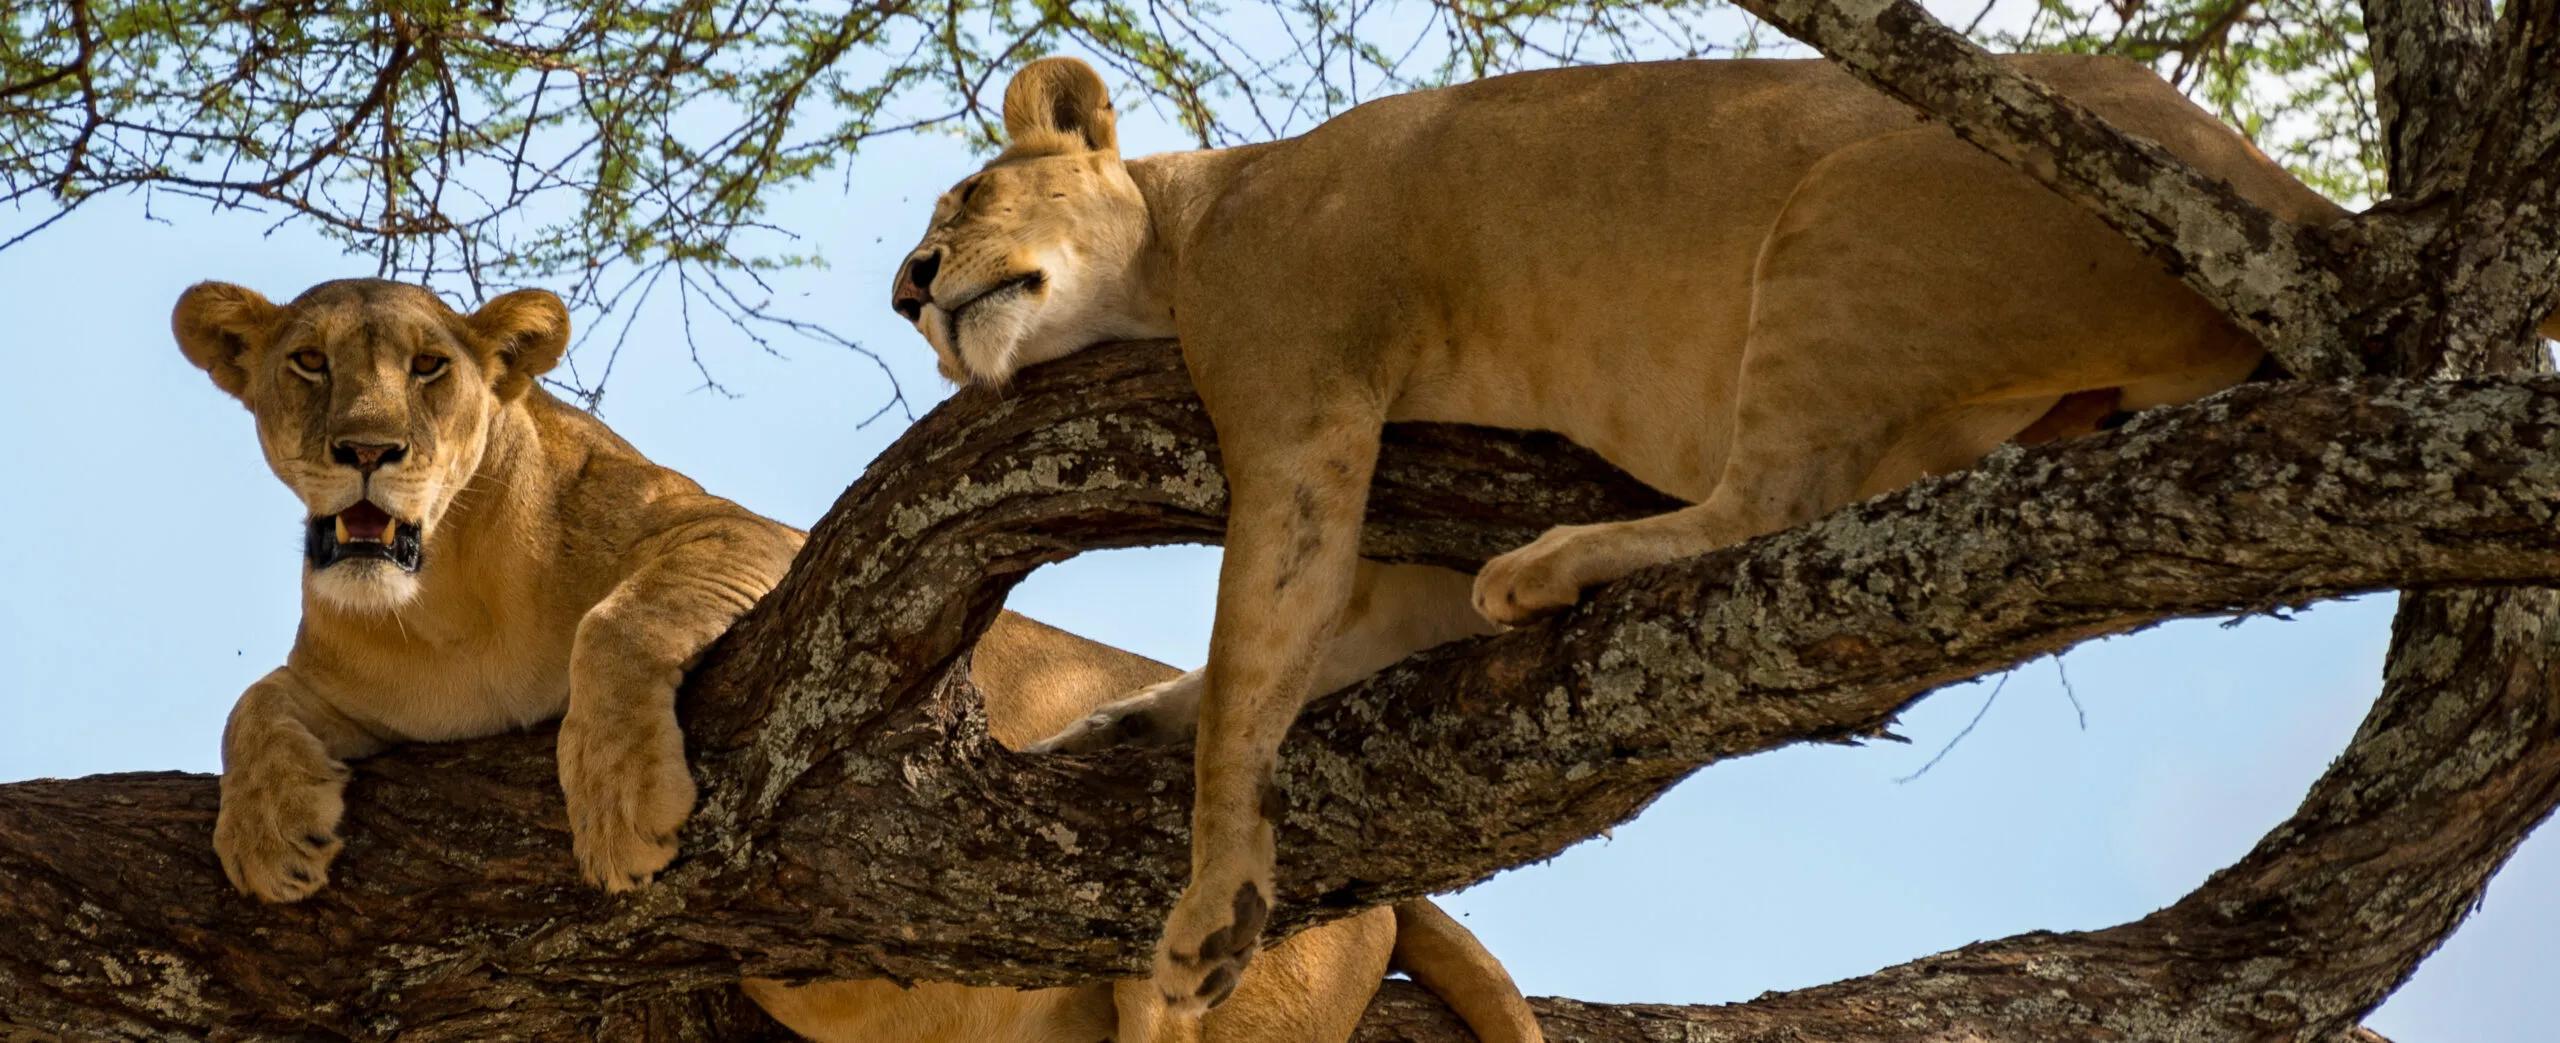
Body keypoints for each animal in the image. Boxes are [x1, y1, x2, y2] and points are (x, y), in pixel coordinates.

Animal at [173, 277, 1539, 1042]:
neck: (441, 594)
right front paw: (269, 837)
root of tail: (1400, 897)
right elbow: (254, 698)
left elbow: (618, 619)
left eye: (430, 370)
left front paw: (620, 807)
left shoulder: (754, 540)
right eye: (308, 363)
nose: (367, 450)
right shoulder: (366, 682)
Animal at [886, 54, 2421, 1012]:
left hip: (1851, 207)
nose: (908, 287)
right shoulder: (1388, 555)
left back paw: (1555, 563)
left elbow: (1255, 655)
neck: (1190, 222)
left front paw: (1212, 907)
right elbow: (1277, 663)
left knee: (1777, 497)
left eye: (966, 198)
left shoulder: (1305, 396)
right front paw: (1122, 723)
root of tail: (2272, 180)